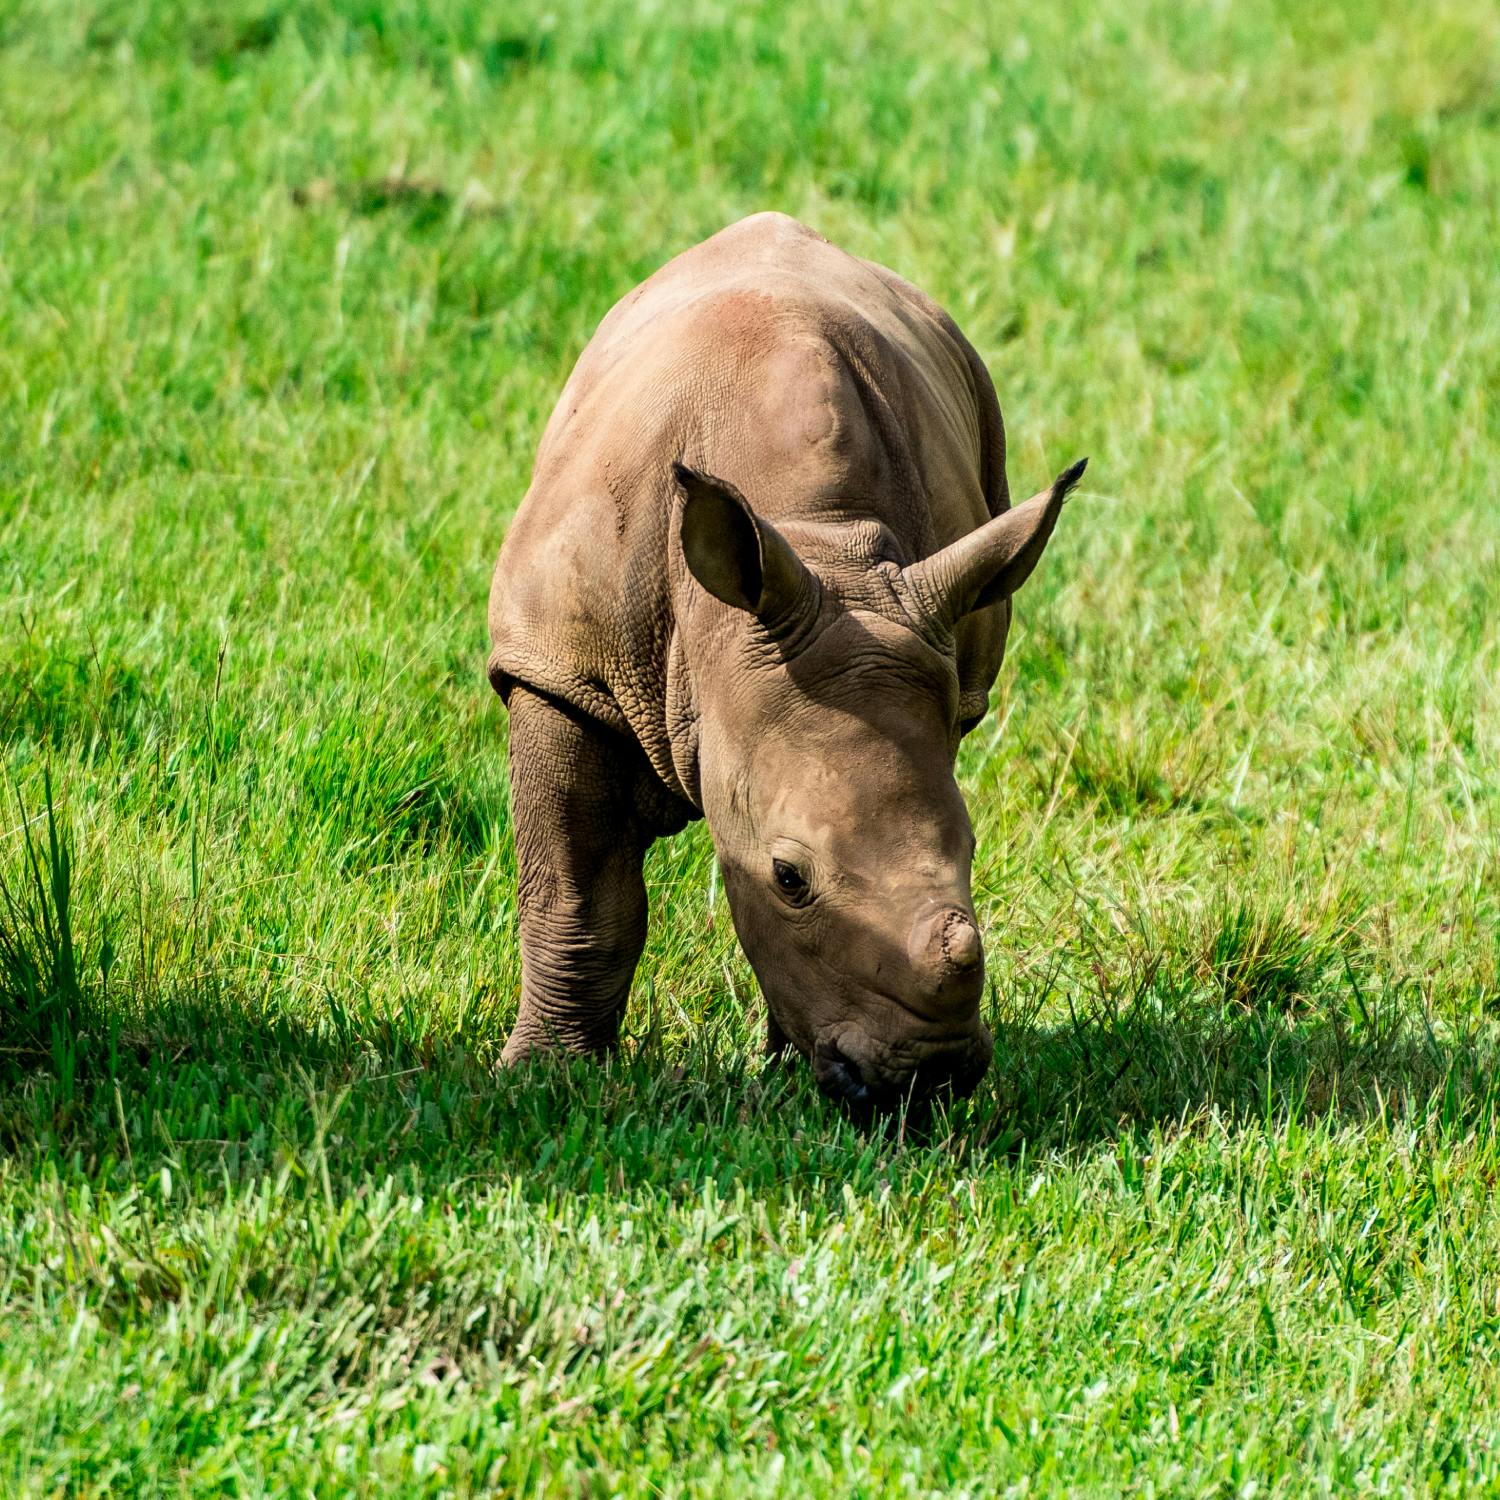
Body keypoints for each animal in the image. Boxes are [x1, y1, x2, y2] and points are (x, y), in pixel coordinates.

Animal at [487, 212, 1083, 1109]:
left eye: (975, 850)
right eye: (788, 876)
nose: (931, 1079)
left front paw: (788, 1073)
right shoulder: (562, 669)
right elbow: (579, 897)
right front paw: (544, 1079)